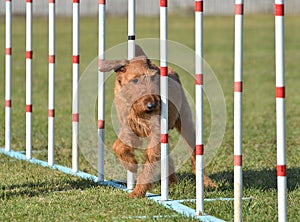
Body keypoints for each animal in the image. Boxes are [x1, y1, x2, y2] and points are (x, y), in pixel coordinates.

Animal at [100, 46, 216, 197]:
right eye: (135, 80)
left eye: (154, 78)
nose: (152, 105)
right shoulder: (128, 128)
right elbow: (118, 146)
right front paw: (131, 163)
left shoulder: (155, 132)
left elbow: (149, 162)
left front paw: (138, 192)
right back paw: (172, 181)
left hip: (186, 125)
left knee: (195, 154)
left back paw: (207, 183)